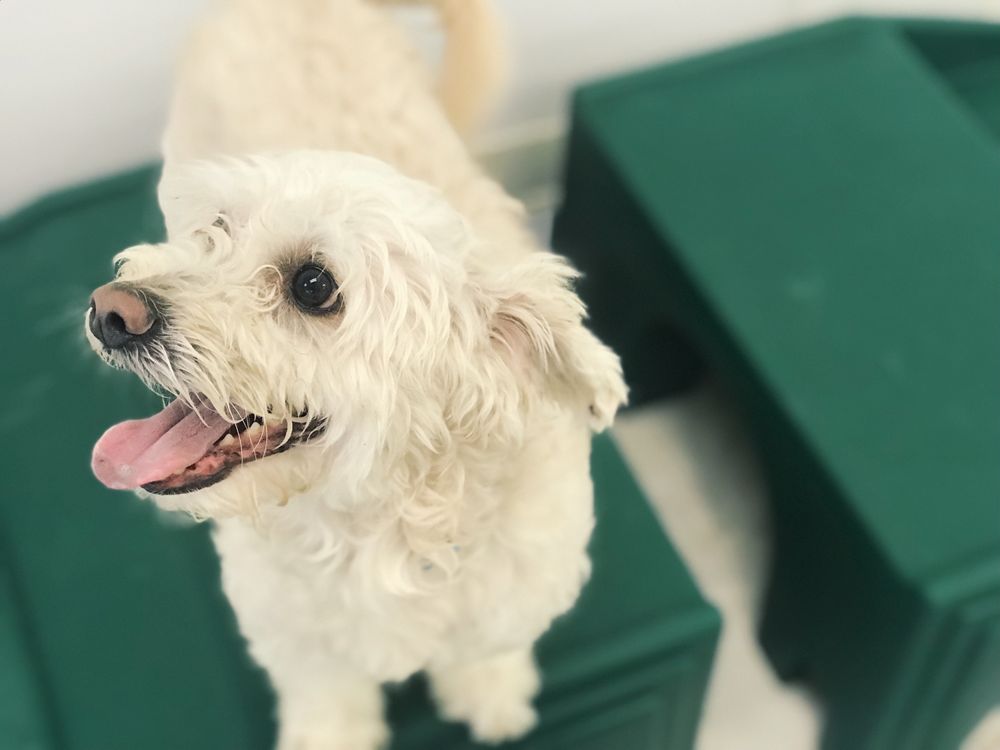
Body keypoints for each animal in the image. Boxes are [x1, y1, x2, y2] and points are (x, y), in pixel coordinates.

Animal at [85, 0, 627, 747]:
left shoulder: (515, 587)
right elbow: (327, 689)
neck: (384, 524)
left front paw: (491, 691)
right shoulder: (292, 629)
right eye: (217, 229)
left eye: (314, 286)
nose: (111, 312)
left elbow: (485, 647)